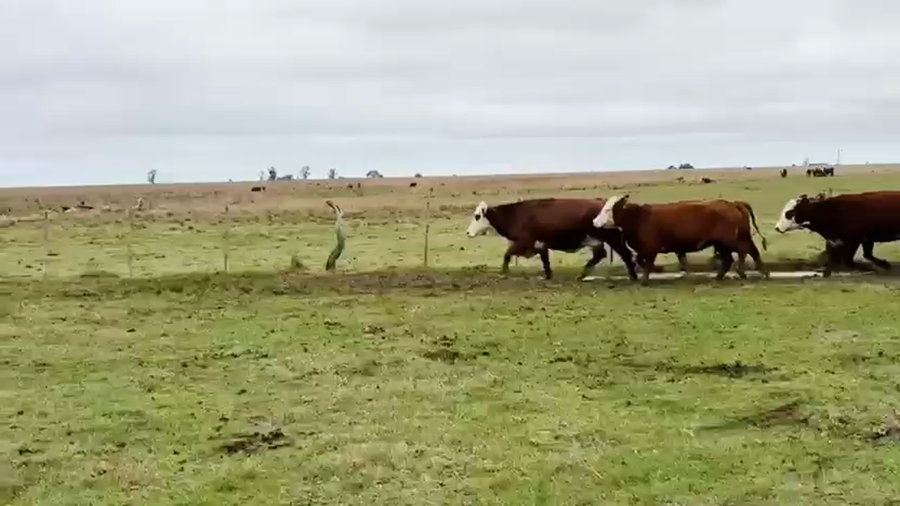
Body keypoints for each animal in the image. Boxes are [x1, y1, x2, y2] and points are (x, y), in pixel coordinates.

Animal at [465, 198, 639, 281]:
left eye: (477, 216)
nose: (468, 232)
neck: (515, 215)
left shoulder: (524, 242)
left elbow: (507, 254)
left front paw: (503, 271)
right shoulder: (541, 245)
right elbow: (545, 261)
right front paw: (548, 276)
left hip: (612, 238)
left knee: (625, 254)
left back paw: (633, 276)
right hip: (596, 241)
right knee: (600, 255)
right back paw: (582, 274)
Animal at [592, 195, 770, 285]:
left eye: (608, 210)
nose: (594, 222)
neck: (638, 217)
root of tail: (733, 203)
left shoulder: (651, 248)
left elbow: (645, 263)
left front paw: (645, 279)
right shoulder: (646, 249)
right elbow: (640, 260)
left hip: (729, 240)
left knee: (744, 251)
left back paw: (744, 272)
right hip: (722, 243)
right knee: (737, 255)